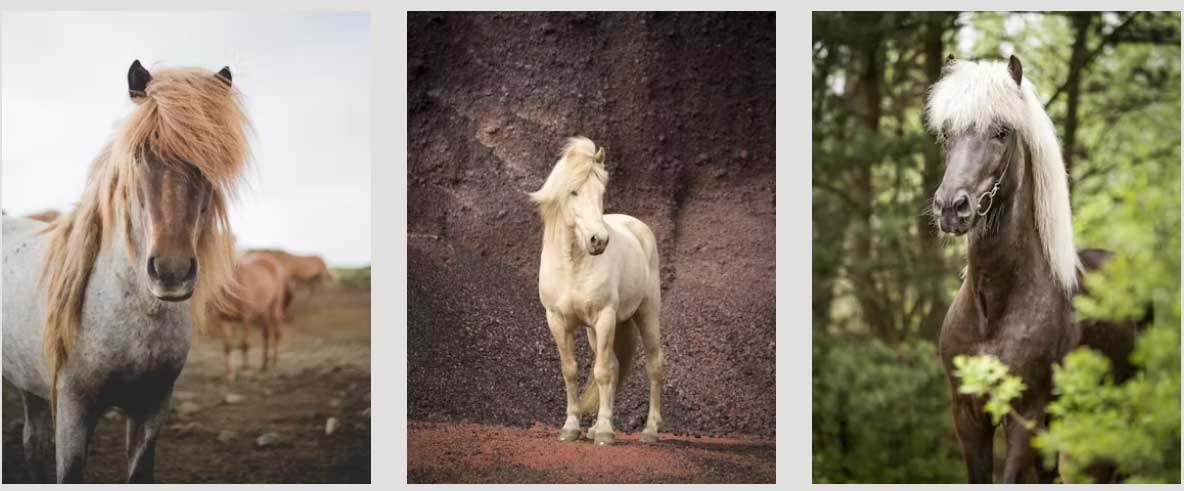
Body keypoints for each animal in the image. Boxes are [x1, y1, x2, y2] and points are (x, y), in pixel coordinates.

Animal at [1, 58, 247, 485]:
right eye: (138, 155)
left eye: (210, 158)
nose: (171, 271)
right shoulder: (74, 410)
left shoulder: (152, 407)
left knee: (33, 442)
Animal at [214, 252, 287, 383]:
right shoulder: (224, 320)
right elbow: (227, 346)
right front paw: (229, 374)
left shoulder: (246, 319)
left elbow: (244, 344)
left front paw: (245, 370)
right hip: (263, 310)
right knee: (266, 335)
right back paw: (264, 365)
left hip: (275, 306)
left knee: (276, 333)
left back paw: (274, 363)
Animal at [530, 135, 667, 444]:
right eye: (573, 192)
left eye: (600, 191)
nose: (599, 240)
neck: (573, 266)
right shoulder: (557, 321)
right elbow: (570, 371)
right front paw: (571, 428)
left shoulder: (605, 317)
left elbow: (602, 372)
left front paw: (605, 432)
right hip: (596, 331)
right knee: (616, 365)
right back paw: (593, 429)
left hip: (646, 313)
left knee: (653, 366)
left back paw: (649, 431)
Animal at [923, 54, 1084, 485]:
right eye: (948, 134)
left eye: (1001, 133)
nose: (951, 207)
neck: (992, 312)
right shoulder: (968, 416)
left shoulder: (1024, 417)